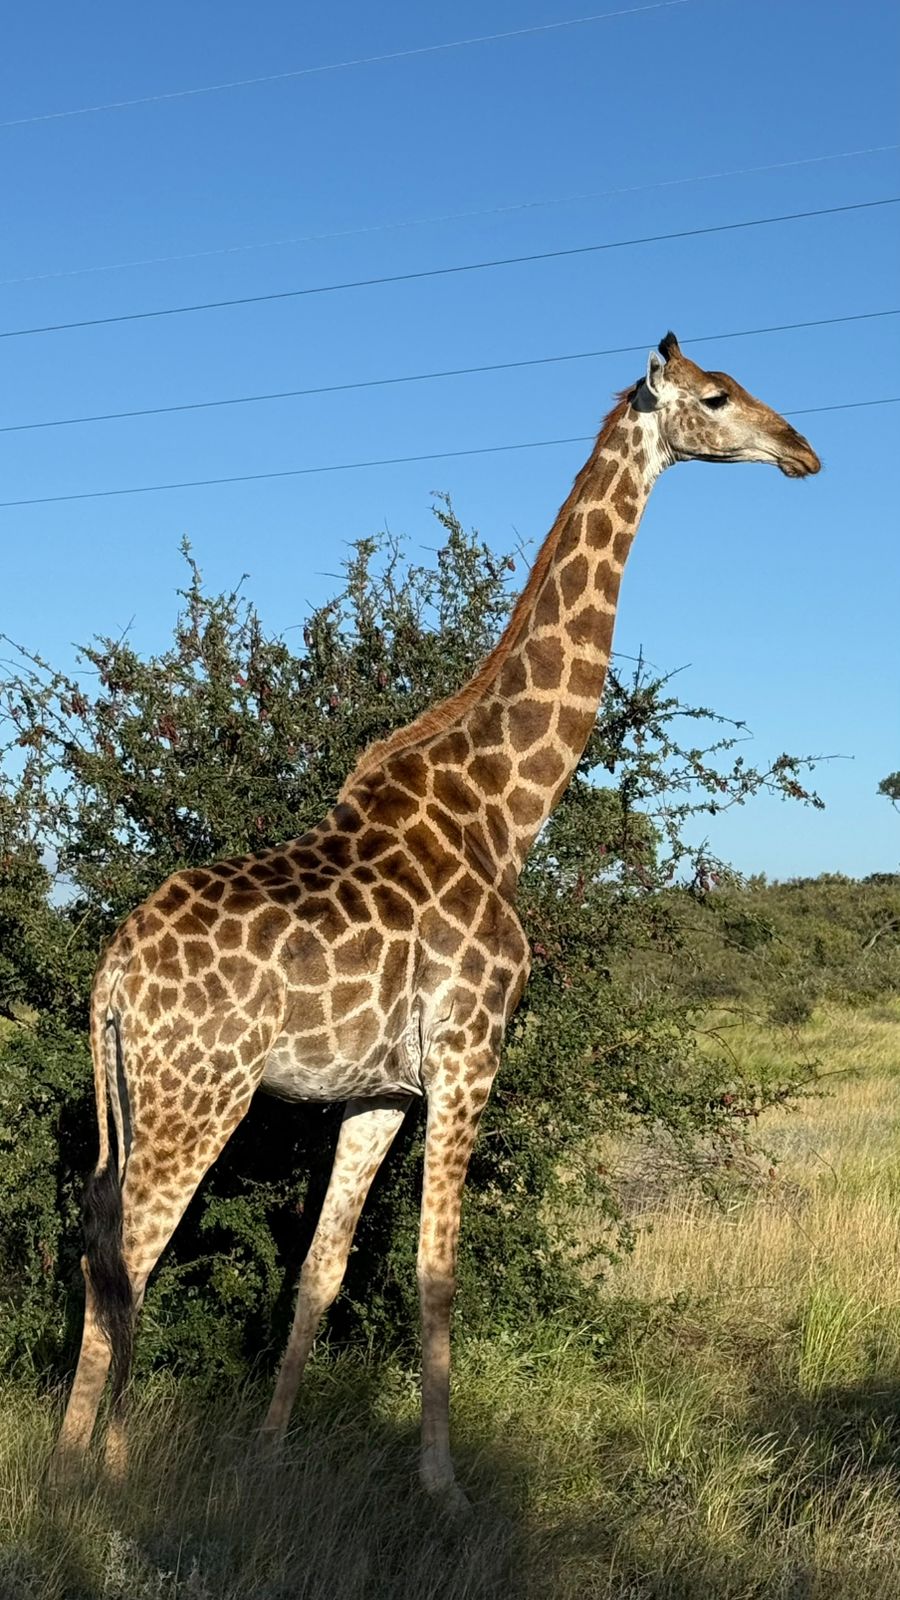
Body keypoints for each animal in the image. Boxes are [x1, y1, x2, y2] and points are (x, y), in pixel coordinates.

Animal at [55, 333, 820, 1510]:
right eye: (718, 395)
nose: (803, 450)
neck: (500, 813)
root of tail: (108, 977)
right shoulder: (470, 1054)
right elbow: (437, 1271)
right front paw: (446, 1485)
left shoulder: (378, 1092)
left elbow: (322, 1272)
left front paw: (270, 1453)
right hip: (202, 1090)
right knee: (127, 1256)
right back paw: (102, 1470)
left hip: (137, 1096)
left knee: (101, 1244)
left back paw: (79, 1462)